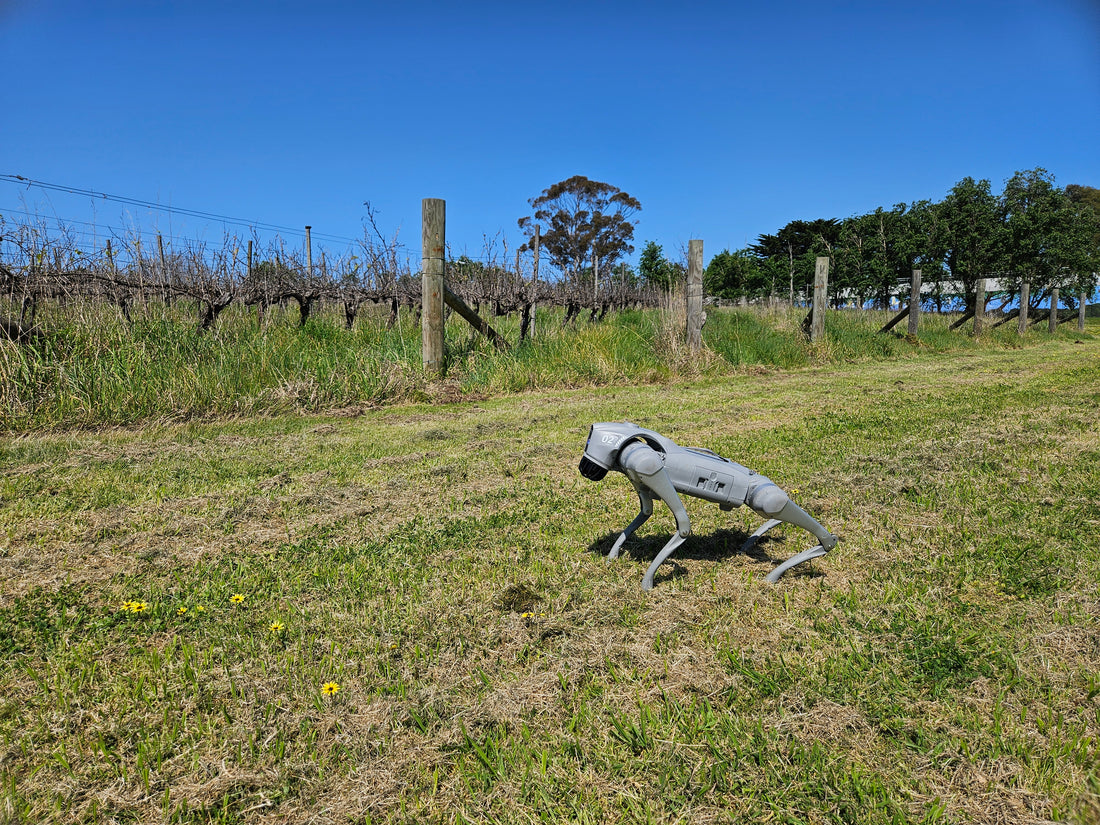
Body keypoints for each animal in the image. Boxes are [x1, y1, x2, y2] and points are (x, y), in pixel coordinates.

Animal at [580, 422, 836, 589]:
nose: (585, 468)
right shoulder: (642, 480)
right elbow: (645, 513)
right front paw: (612, 557)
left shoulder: (647, 465)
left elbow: (683, 526)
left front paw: (647, 584)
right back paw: (750, 548)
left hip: (761, 497)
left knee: (779, 506)